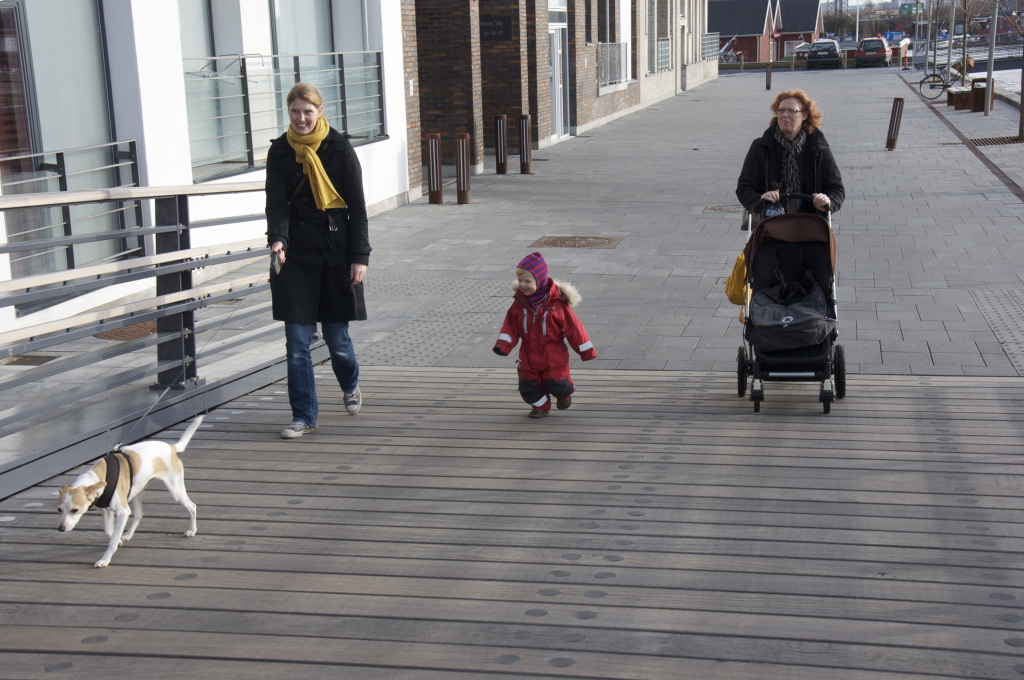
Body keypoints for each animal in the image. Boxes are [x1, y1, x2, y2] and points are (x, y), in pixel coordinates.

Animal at [57, 416, 204, 567]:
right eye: (59, 510)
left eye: (75, 510)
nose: (60, 528)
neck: (98, 476)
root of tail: (171, 447)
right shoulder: (107, 510)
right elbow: (109, 531)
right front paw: (119, 540)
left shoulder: (122, 512)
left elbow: (112, 540)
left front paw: (105, 559)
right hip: (137, 493)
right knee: (139, 514)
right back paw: (127, 535)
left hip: (176, 491)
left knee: (192, 506)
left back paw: (192, 530)